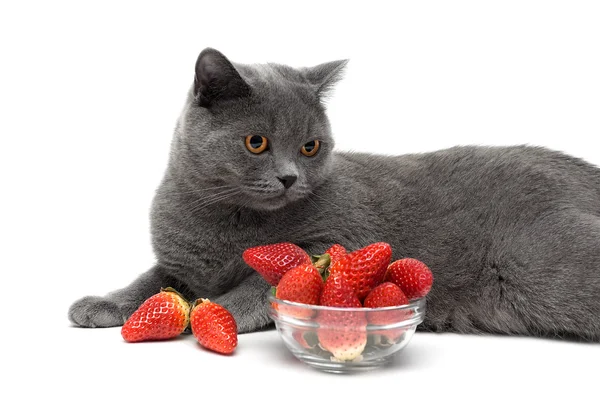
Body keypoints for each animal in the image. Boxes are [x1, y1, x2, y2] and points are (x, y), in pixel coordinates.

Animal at [68, 47, 600, 340]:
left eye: (310, 146)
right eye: (256, 142)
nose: (289, 178)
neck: (228, 220)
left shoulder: (331, 244)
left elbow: (267, 284)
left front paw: (216, 312)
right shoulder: (180, 263)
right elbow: (148, 281)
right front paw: (101, 304)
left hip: (544, 269)